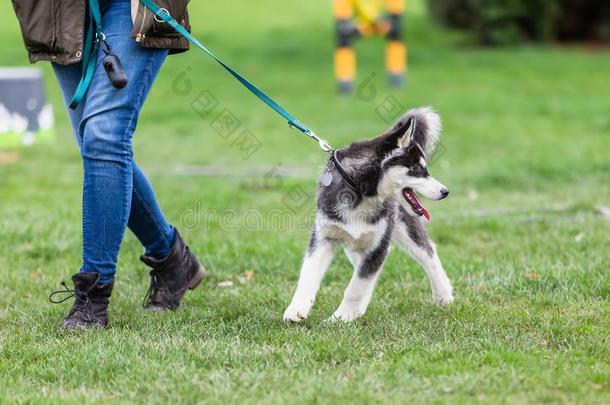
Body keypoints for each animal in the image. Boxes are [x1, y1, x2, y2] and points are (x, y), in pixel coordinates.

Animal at [284, 106, 452, 322]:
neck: (362, 193)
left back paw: (443, 295)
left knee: (429, 252)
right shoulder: (324, 237)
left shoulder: (378, 245)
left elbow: (356, 287)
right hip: (357, 242)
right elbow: (308, 276)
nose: (445, 191)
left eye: (425, 168)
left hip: (402, 228)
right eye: (416, 169)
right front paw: (296, 310)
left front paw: (341, 318)